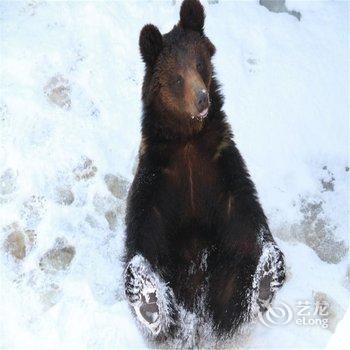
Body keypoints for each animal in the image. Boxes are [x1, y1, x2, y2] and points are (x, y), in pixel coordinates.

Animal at [123, 0, 284, 344]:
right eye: (176, 77)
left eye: (199, 64)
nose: (202, 99)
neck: (187, 139)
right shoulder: (158, 178)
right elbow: (144, 234)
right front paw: (148, 300)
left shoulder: (220, 169)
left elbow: (247, 224)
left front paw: (267, 275)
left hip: (220, 276)